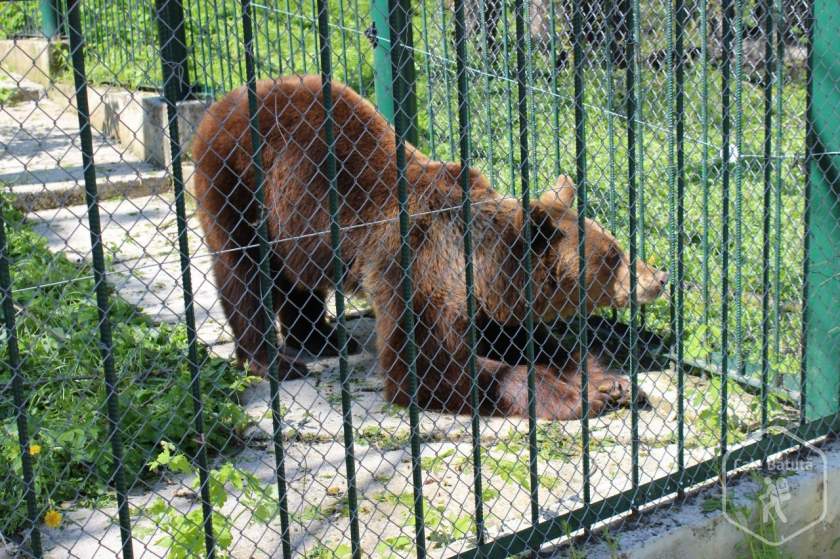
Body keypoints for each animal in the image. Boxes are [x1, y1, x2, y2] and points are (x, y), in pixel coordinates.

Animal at [192, 76, 668, 422]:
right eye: (614, 256)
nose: (659, 277)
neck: (480, 262)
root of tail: (224, 101)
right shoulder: (419, 267)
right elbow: (426, 364)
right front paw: (575, 397)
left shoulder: (483, 296)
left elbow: (523, 339)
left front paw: (612, 382)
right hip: (238, 183)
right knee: (242, 272)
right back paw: (275, 361)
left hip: (295, 219)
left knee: (299, 277)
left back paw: (321, 339)